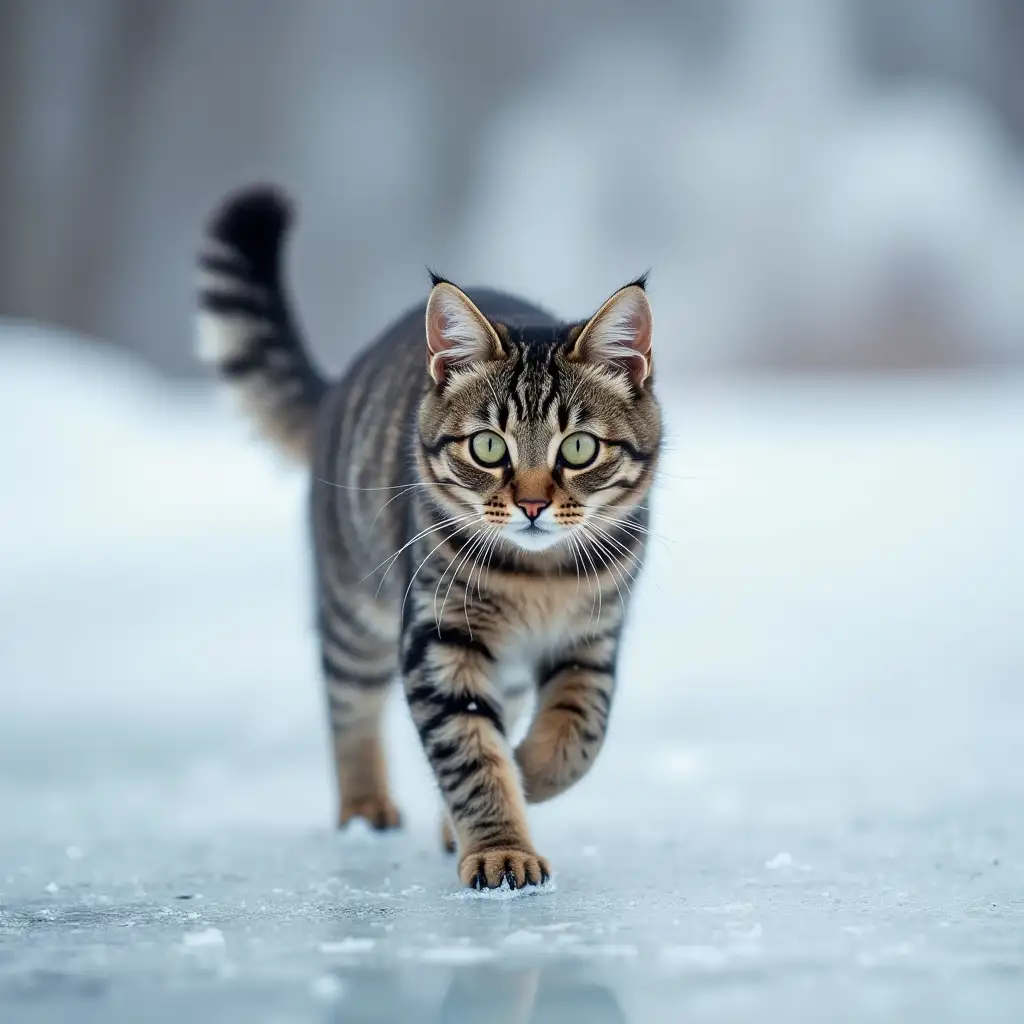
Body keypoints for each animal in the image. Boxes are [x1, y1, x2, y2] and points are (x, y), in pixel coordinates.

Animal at [197, 186, 663, 888]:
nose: (531, 504)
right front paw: (501, 846)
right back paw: (365, 807)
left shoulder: (593, 639)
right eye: (488, 446)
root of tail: (340, 383)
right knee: (348, 708)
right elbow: (470, 753)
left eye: (579, 448)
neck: (540, 577)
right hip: (354, 612)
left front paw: (522, 775)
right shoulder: (439, 637)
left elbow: (578, 735)